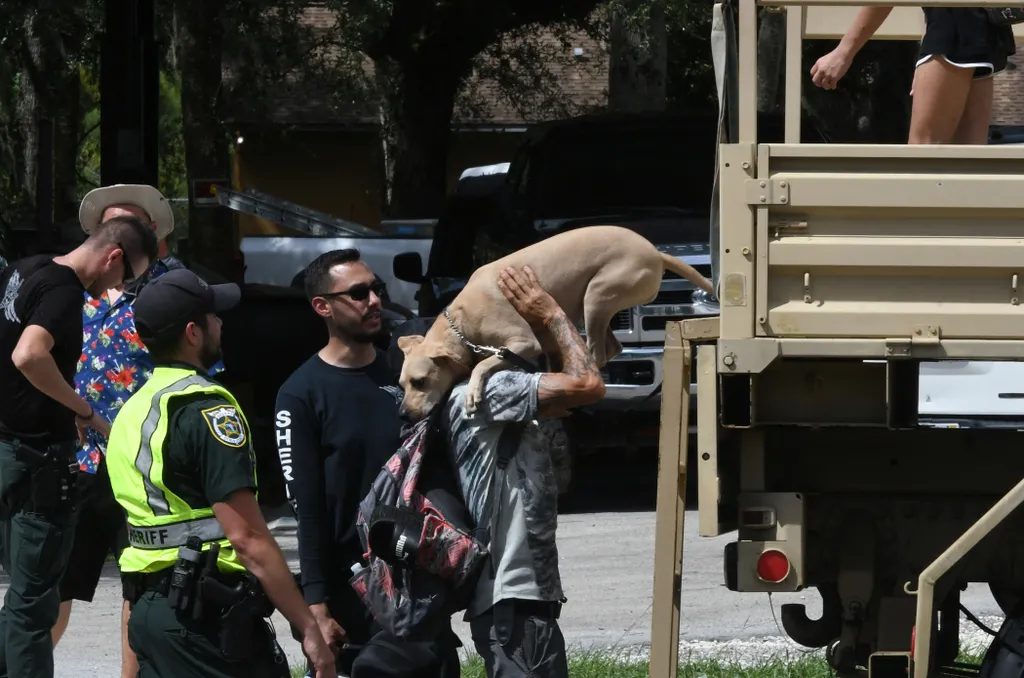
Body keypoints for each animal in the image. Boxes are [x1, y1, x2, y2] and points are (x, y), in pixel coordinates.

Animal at [395, 225, 716, 421]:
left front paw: (473, 392)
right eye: (402, 384)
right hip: (594, 305)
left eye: (420, 381)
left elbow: (482, 364)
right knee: (610, 348)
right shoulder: (540, 341)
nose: (403, 415)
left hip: (596, 295)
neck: (461, 323)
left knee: (598, 354)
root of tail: (656, 252)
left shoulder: (523, 343)